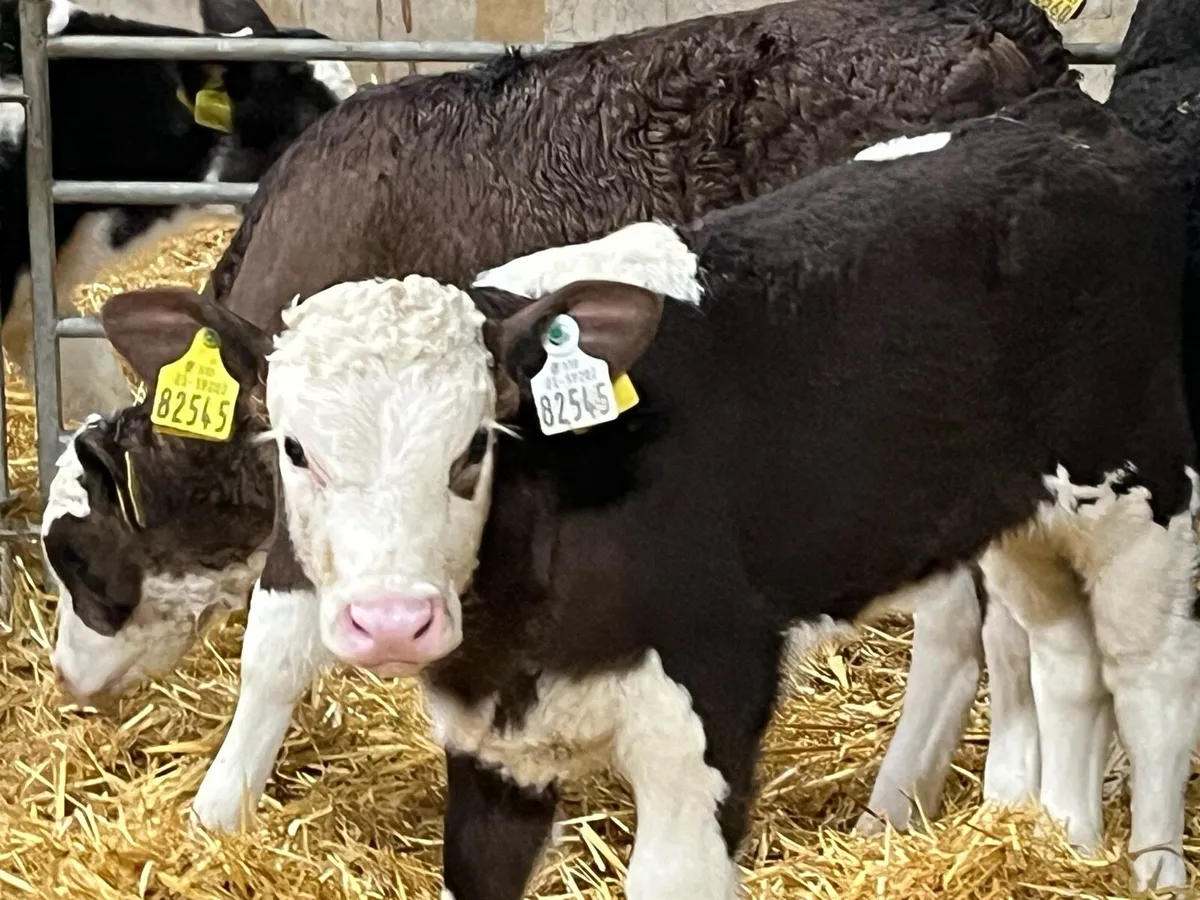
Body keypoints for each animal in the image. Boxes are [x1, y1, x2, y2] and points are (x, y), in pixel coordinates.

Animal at [93, 82, 1200, 896]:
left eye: (474, 447)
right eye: (294, 448)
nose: (391, 620)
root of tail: (1068, 121)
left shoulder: (707, 710)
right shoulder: (491, 753)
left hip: (1144, 498)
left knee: (1150, 685)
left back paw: (1150, 869)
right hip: (1028, 522)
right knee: (1066, 663)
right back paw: (1063, 840)